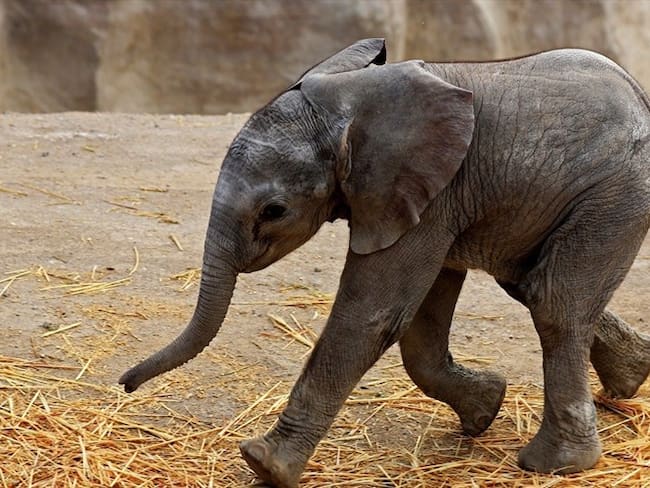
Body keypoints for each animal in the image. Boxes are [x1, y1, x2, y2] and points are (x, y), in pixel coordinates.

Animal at [119, 39, 650, 487]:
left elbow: (372, 316)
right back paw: (631, 378)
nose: (124, 384)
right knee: (526, 283)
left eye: (274, 211)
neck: (349, 101)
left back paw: (556, 465)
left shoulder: (427, 192)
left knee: (554, 303)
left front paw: (264, 465)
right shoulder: (429, 197)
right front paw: (485, 410)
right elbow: (419, 325)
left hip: (612, 195)